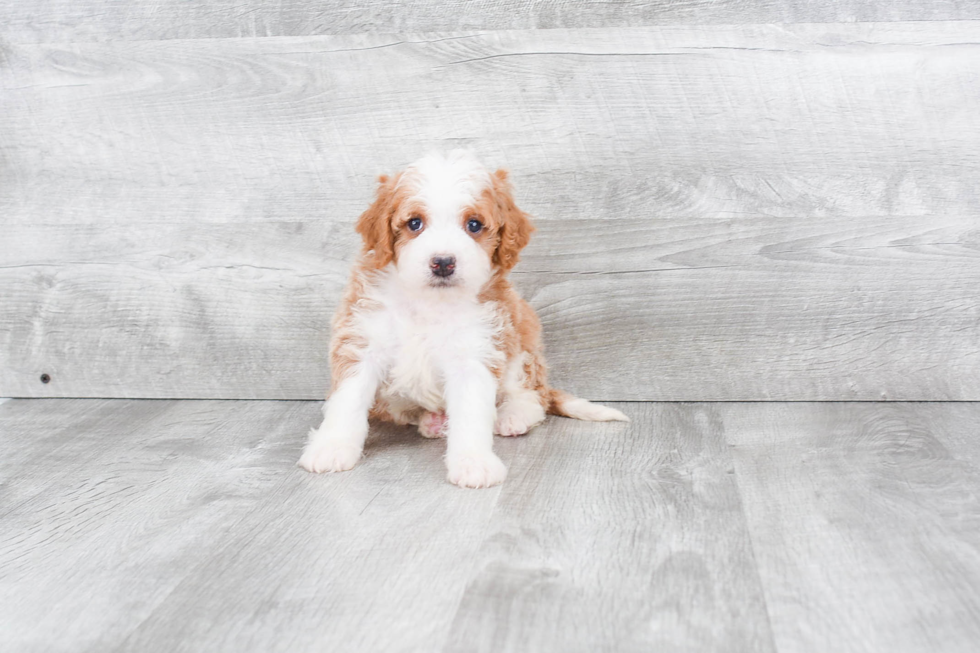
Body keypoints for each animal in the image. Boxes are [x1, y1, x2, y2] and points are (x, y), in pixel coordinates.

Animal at [294, 150, 628, 486]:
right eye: (414, 223)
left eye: (474, 224)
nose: (443, 262)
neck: (427, 301)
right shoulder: (363, 341)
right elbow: (348, 401)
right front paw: (331, 448)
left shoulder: (476, 350)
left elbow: (472, 412)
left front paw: (473, 463)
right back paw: (431, 421)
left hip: (522, 341)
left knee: (533, 396)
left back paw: (512, 416)